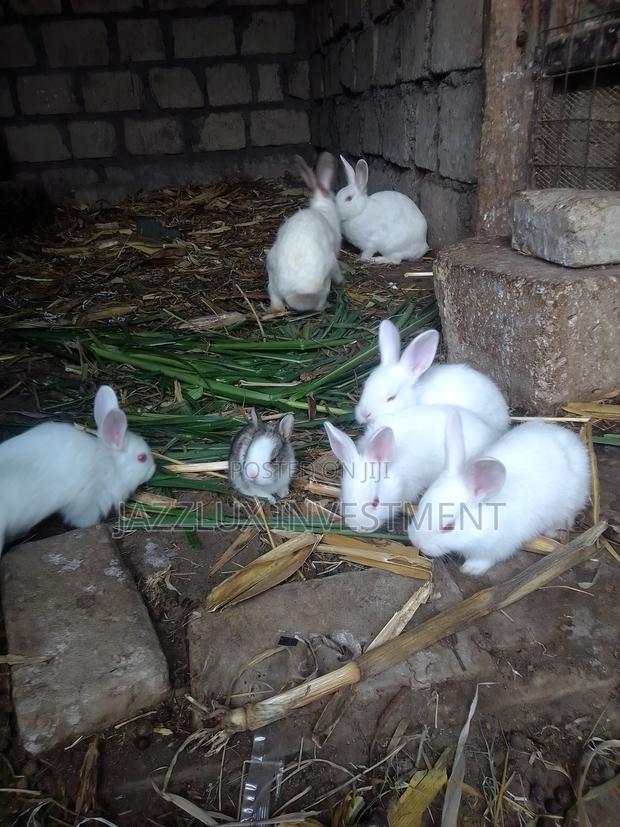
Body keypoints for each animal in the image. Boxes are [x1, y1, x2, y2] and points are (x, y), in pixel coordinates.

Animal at [408, 411, 591, 575]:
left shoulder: (497, 546)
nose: (416, 542)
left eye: (448, 527)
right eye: (422, 505)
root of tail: (570, 439)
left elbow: (485, 559)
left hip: (568, 504)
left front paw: (470, 569)